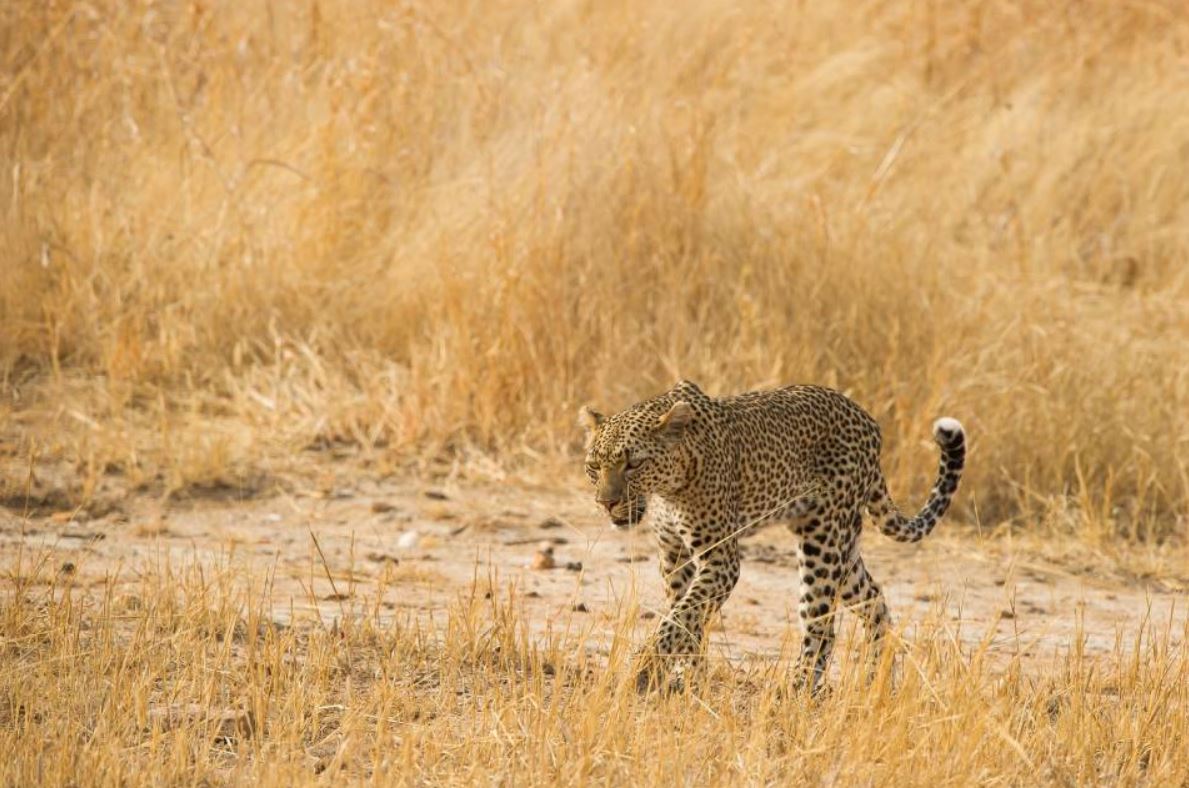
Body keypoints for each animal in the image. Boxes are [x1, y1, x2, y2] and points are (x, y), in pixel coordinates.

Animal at [579, 379, 966, 693]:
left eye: (634, 464)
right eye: (594, 466)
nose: (605, 502)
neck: (668, 489)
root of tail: (869, 422)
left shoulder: (720, 558)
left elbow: (681, 617)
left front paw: (644, 670)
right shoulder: (673, 555)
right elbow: (686, 616)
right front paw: (688, 676)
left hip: (824, 539)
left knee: (822, 625)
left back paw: (797, 689)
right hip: (842, 547)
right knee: (874, 600)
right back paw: (876, 680)